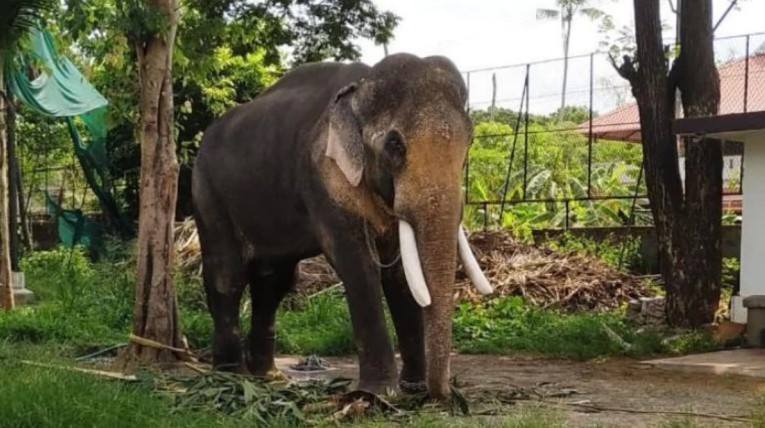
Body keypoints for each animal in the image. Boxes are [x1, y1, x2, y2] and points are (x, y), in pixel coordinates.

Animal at [190, 53, 490, 402]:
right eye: (394, 144)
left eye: (470, 140)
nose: (441, 395)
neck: (361, 88)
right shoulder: (323, 175)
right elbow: (357, 265)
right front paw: (375, 396)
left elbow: (399, 274)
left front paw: (412, 390)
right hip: (207, 192)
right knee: (228, 275)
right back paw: (232, 379)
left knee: (274, 281)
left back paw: (269, 377)